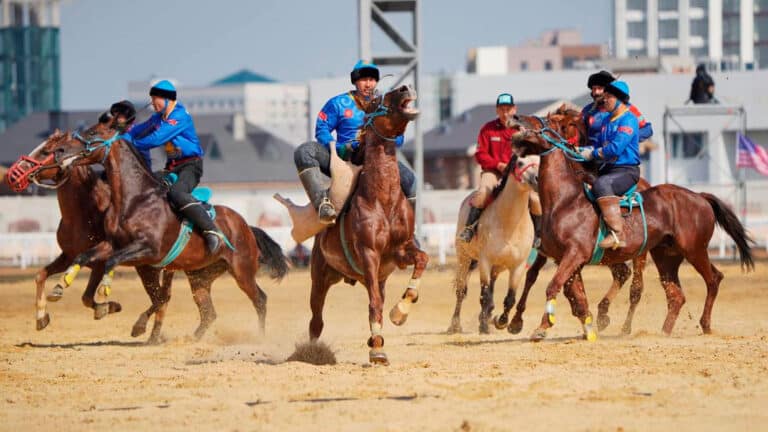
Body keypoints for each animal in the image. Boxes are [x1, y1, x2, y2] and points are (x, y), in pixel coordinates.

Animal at [27, 120, 288, 338]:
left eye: (92, 133)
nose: (60, 152)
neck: (135, 200)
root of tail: (246, 226)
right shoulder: (111, 244)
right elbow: (85, 256)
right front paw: (60, 286)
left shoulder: (148, 250)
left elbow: (111, 262)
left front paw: (104, 292)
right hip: (200, 276)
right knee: (206, 311)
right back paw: (187, 338)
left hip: (242, 270)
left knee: (259, 299)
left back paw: (260, 338)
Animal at [296, 85, 426, 364]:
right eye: (378, 100)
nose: (406, 87)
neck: (383, 200)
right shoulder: (369, 254)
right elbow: (374, 303)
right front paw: (377, 351)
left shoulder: (400, 251)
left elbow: (422, 260)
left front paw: (400, 311)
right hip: (320, 277)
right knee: (316, 320)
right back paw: (312, 352)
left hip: (377, 277)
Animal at [444, 155, 540, 334]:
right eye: (520, 163)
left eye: (539, 162)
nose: (537, 179)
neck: (510, 223)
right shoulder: (485, 262)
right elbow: (484, 295)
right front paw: (483, 327)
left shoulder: (518, 266)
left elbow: (510, 298)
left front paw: (501, 322)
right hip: (464, 258)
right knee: (461, 291)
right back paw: (455, 325)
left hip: (498, 266)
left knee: (493, 287)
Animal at [510, 108, 756, 340]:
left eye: (546, 121)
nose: (515, 117)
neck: (565, 199)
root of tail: (700, 197)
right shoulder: (566, 259)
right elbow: (575, 296)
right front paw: (586, 328)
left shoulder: (574, 254)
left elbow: (554, 286)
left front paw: (542, 328)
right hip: (666, 257)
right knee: (675, 295)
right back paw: (663, 332)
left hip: (694, 250)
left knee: (713, 279)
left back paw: (704, 324)